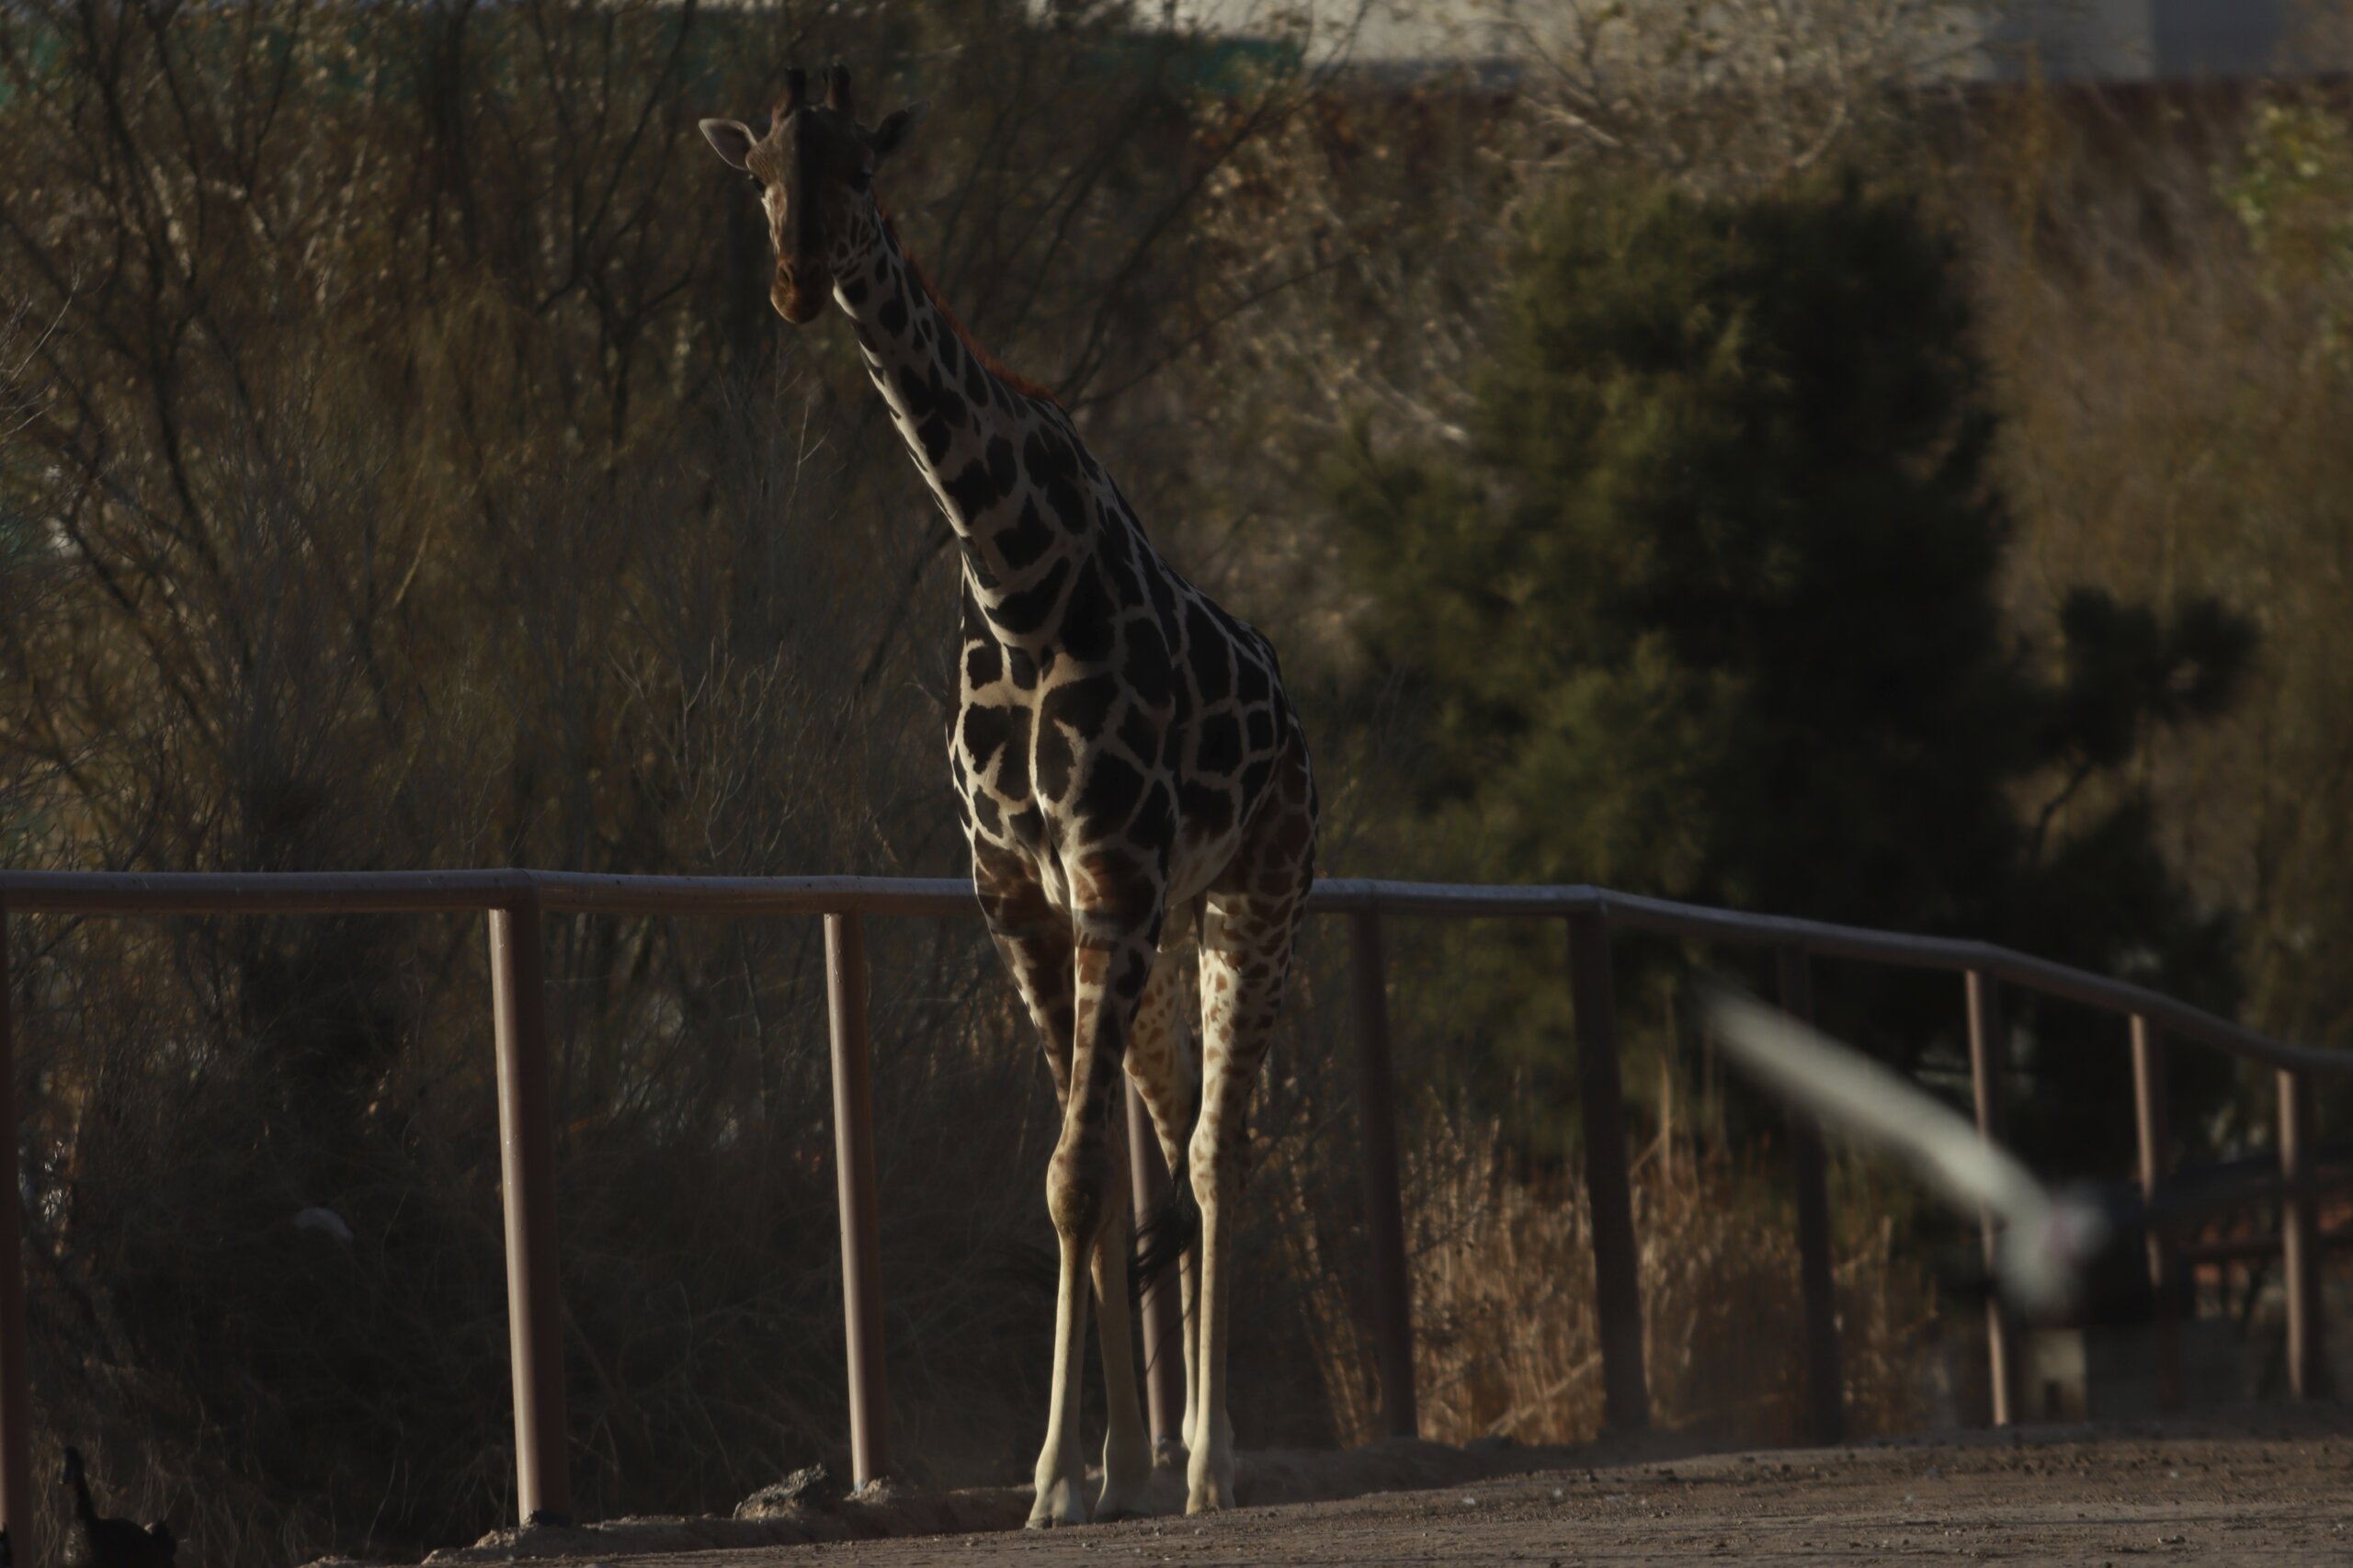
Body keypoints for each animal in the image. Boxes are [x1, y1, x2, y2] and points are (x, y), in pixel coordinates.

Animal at [696, 67, 1326, 1516]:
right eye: (757, 173)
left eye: (863, 168)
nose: (798, 282)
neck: (1015, 579)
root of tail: (1293, 710)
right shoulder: (1019, 896)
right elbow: (1069, 1184)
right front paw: (1087, 1474)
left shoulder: (1115, 879)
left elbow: (1082, 1173)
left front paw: (1059, 1474)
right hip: (1163, 931)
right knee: (1172, 1135)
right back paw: (1160, 1457)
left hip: (1255, 898)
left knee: (1218, 1147)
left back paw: (1214, 1459)